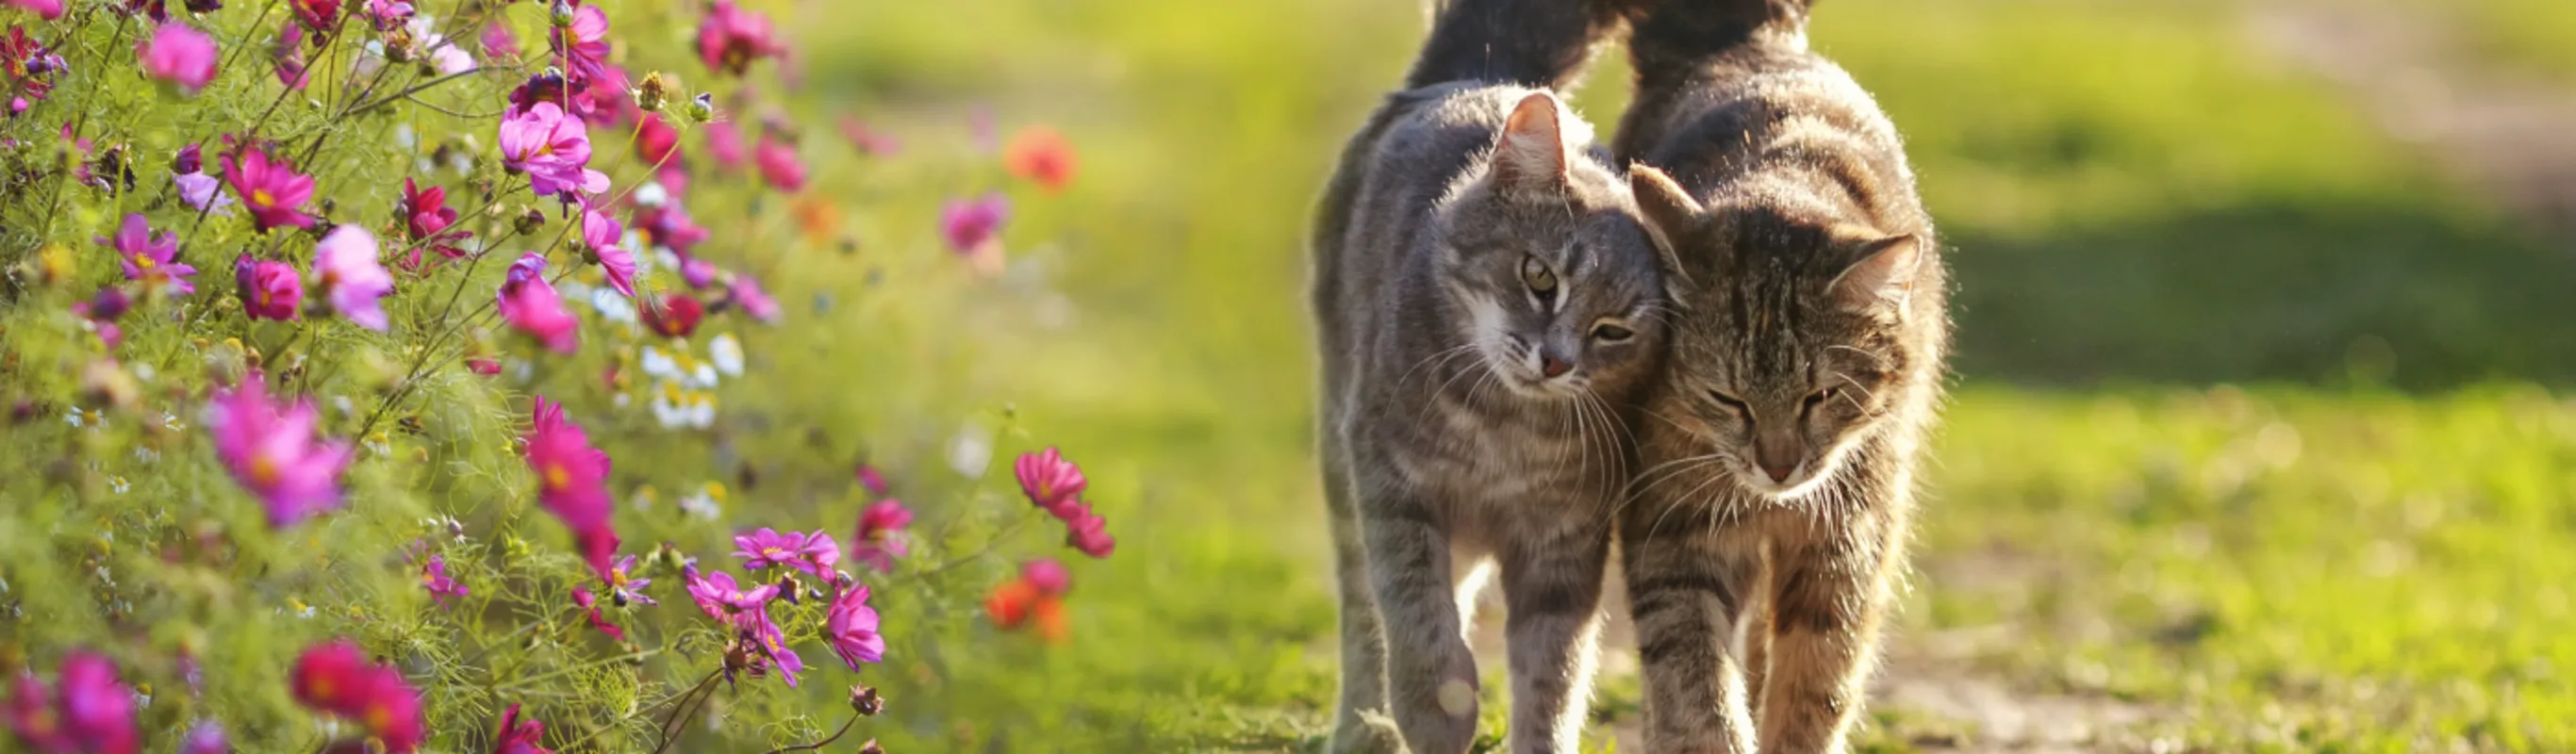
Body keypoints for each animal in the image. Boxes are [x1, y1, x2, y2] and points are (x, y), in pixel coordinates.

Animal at [1308, 1, 1669, 746]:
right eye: (1541, 277)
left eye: (1614, 330)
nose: (1555, 360)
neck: (1505, 434)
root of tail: (1485, 71)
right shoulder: (1391, 485)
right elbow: (1415, 614)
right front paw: (1436, 709)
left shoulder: (1566, 539)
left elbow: (1553, 673)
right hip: (1340, 455)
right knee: (1363, 610)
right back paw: (1363, 726)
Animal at [1596, 1, 1937, 751]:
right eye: (1727, 398)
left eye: (1822, 395)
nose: (1777, 466)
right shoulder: (1671, 524)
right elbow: (1692, 671)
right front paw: (1714, 730)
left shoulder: (1850, 535)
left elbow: (1818, 678)